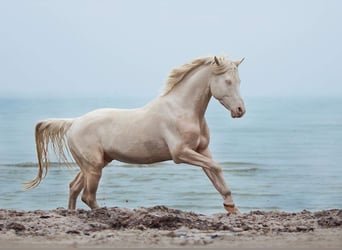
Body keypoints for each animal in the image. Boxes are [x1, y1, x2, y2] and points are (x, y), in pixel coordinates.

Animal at [26, 55, 246, 214]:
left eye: (239, 81)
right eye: (227, 81)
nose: (240, 110)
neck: (181, 109)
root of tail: (74, 122)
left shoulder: (202, 150)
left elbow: (216, 174)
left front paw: (231, 207)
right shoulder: (181, 153)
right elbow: (216, 167)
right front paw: (230, 207)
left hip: (94, 164)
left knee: (74, 187)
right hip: (94, 167)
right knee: (87, 195)